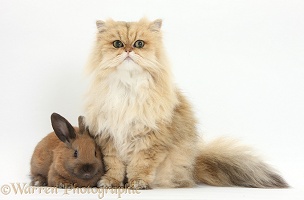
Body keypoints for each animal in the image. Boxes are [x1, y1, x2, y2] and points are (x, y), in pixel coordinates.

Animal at [84, 18, 288, 188]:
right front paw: (111, 182)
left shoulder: (149, 140)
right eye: (117, 44)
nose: (128, 50)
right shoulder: (109, 138)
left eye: (139, 44)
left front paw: (138, 182)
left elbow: (140, 165)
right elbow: (115, 165)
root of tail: (193, 163)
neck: (127, 87)